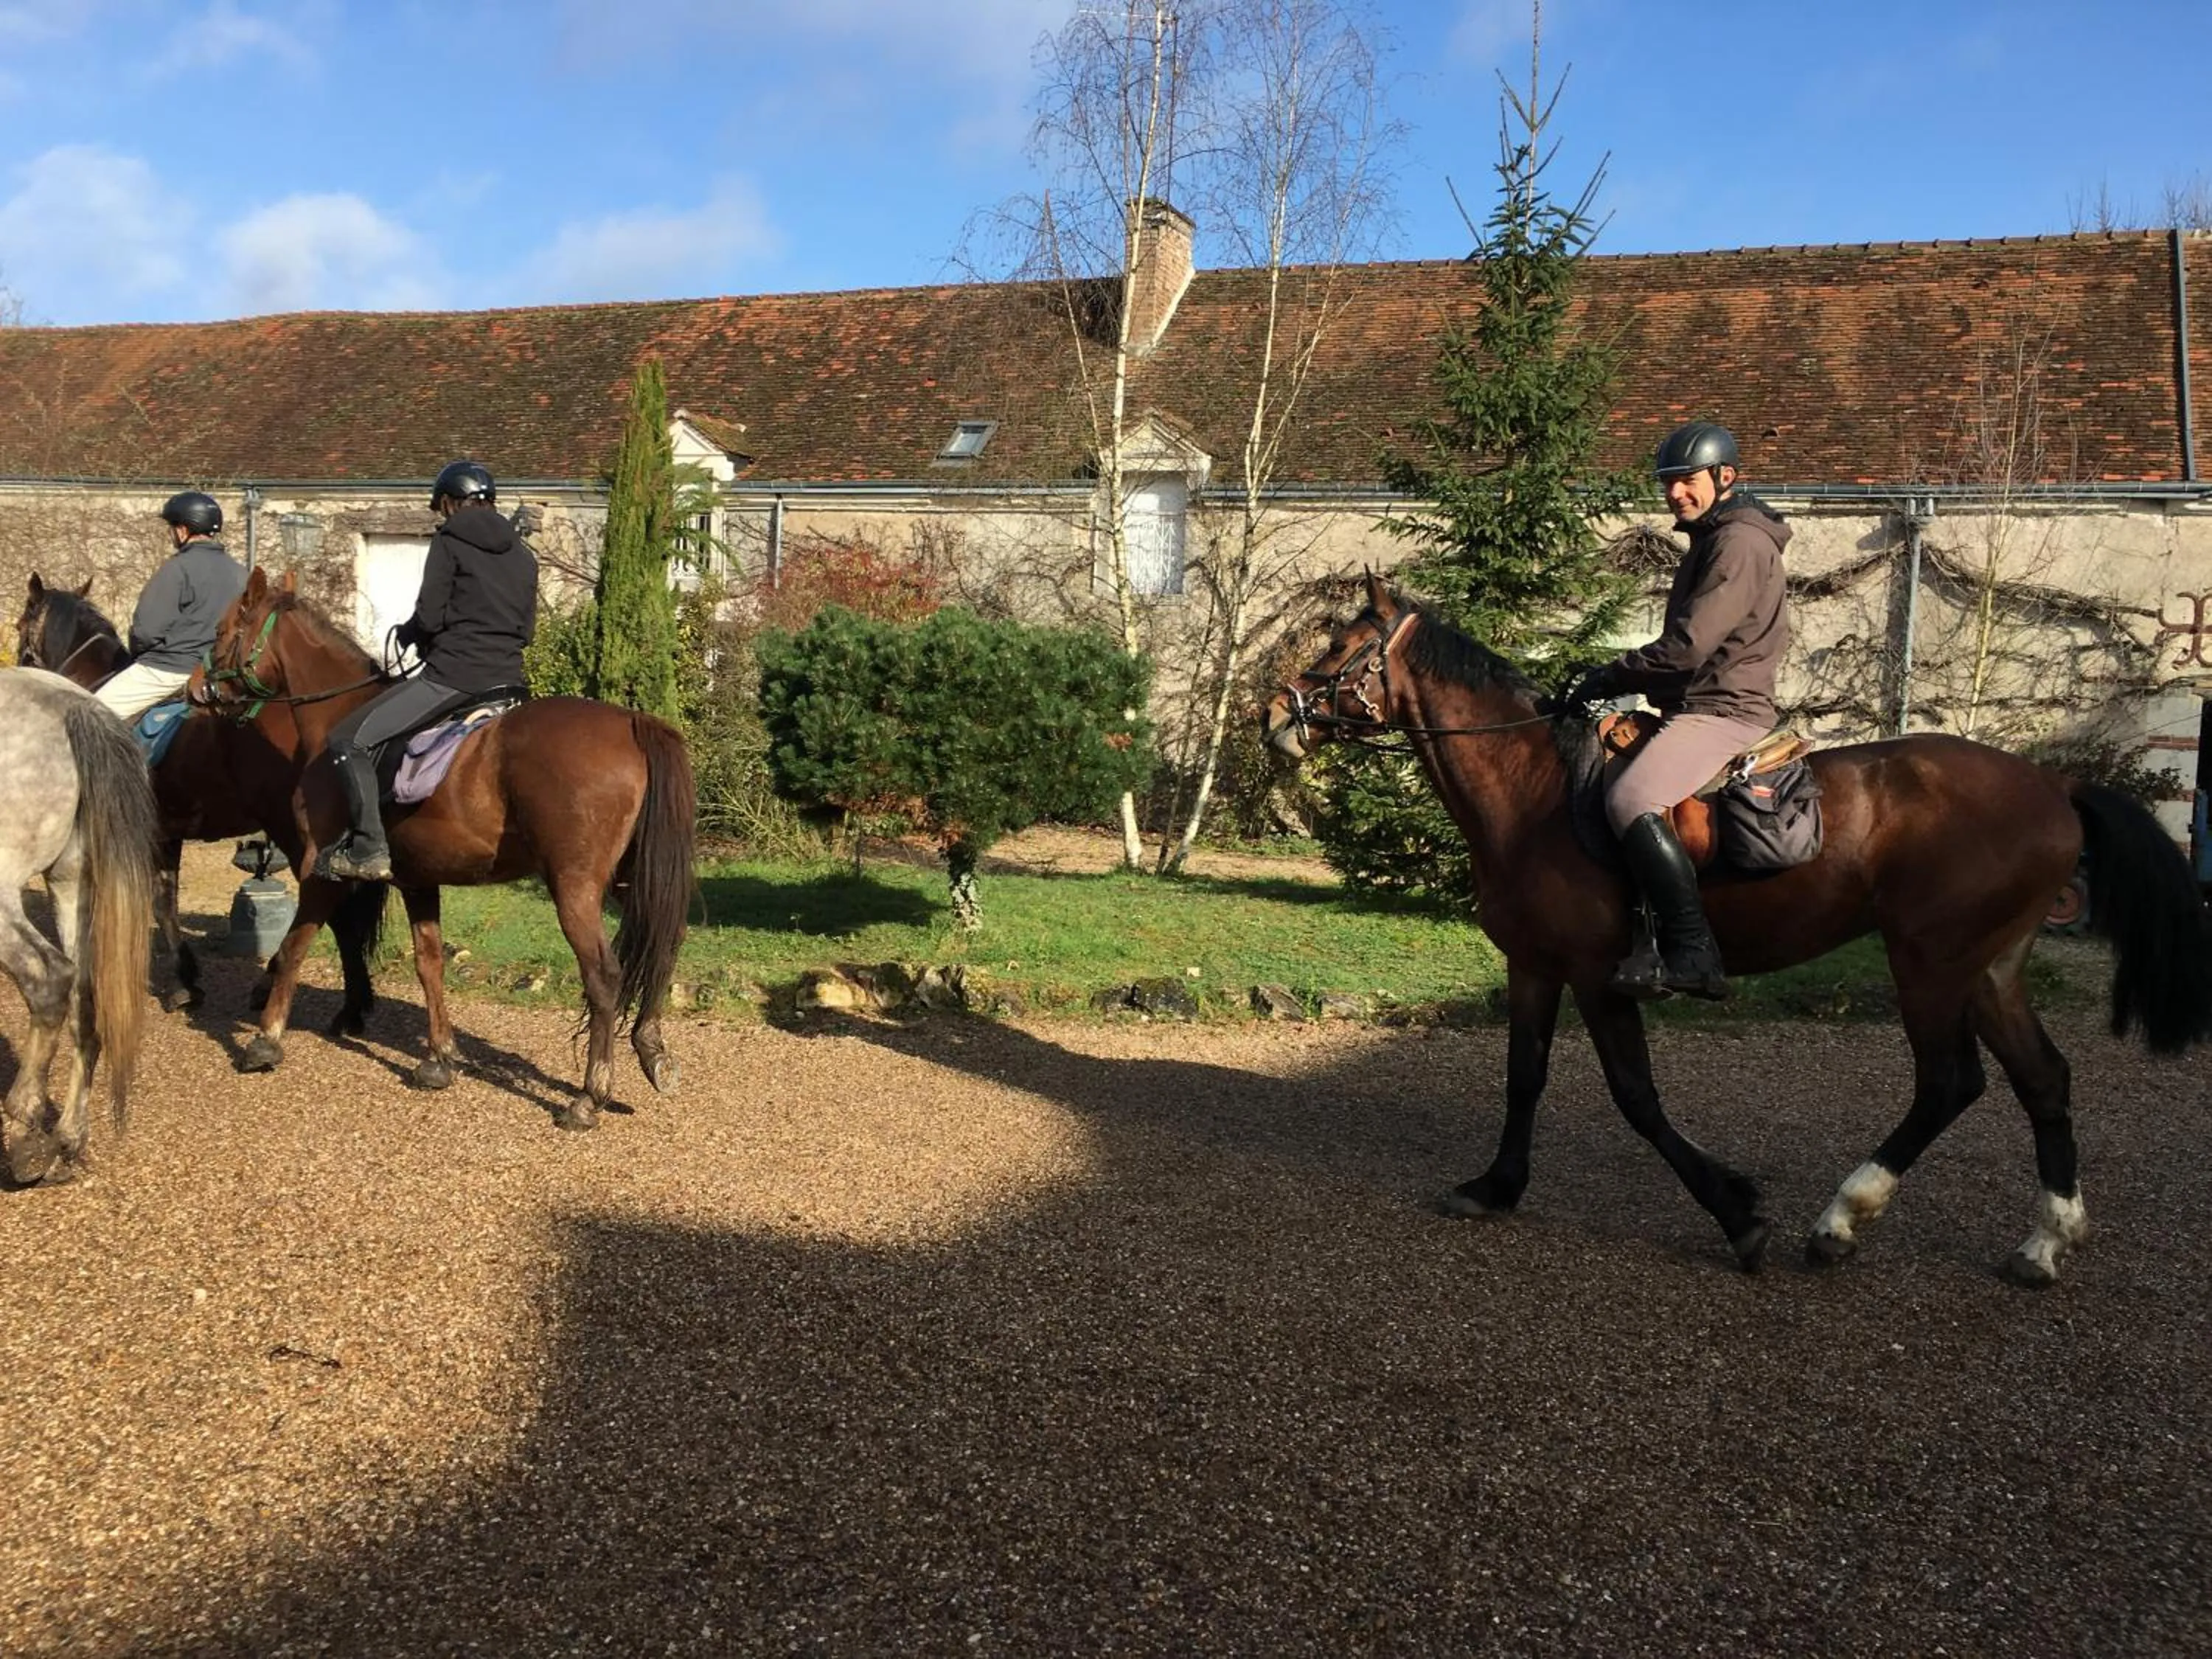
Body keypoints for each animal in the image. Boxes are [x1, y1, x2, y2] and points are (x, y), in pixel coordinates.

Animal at [0, 669, 158, 1185]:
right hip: (74, 886)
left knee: (50, 979)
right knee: (85, 1001)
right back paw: (67, 1138)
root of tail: (72, 705)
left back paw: (25, 1130)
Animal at [15, 573, 388, 1031]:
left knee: (336, 910)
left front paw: (181, 980)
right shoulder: (166, 832)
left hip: (291, 829)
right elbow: (166, 899)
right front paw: (187, 979)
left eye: (19, 626)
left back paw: (342, 1004)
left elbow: (156, 904)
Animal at [193, 567, 696, 1130]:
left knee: (604, 975)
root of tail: (632, 722)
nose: (194, 689)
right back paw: (652, 1051)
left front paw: (265, 1039)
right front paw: (439, 1058)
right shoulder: (417, 880)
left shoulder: (321, 873)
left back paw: (590, 1096)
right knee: (665, 946)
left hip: (575, 887)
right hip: (631, 881)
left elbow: (296, 946)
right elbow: (428, 962)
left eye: (222, 630)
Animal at [1263, 575, 2212, 1286]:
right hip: (1989, 967)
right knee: (2042, 1079)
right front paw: (1496, 1187)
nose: (1274, 716)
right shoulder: (1534, 964)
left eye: (1339, 647)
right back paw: (2044, 1241)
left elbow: (1637, 1098)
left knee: (1949, 1083)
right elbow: (1524, 1079)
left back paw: (1840, 1221)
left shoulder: (1597, 973)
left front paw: (1737, 1213)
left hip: (1930, 963)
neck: (1533, 789)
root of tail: (2056, 789)